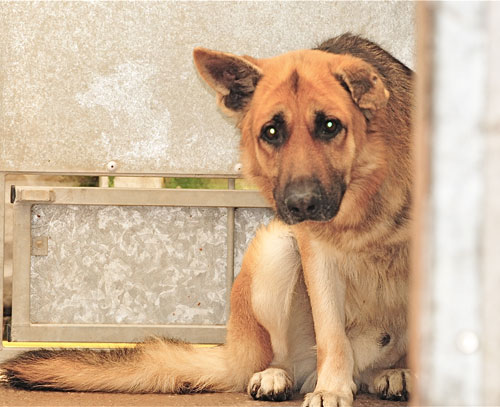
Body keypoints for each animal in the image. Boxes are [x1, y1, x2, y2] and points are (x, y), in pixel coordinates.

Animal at [0, 35, 412, 407]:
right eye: (271, 132)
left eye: (330, 126)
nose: (300, 205)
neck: (368, 187)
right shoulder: (317, 254)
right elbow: (332, 335)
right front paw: (331, 390)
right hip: (276, 250)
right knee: (285, 357)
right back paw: (279, 376)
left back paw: (391, 373)